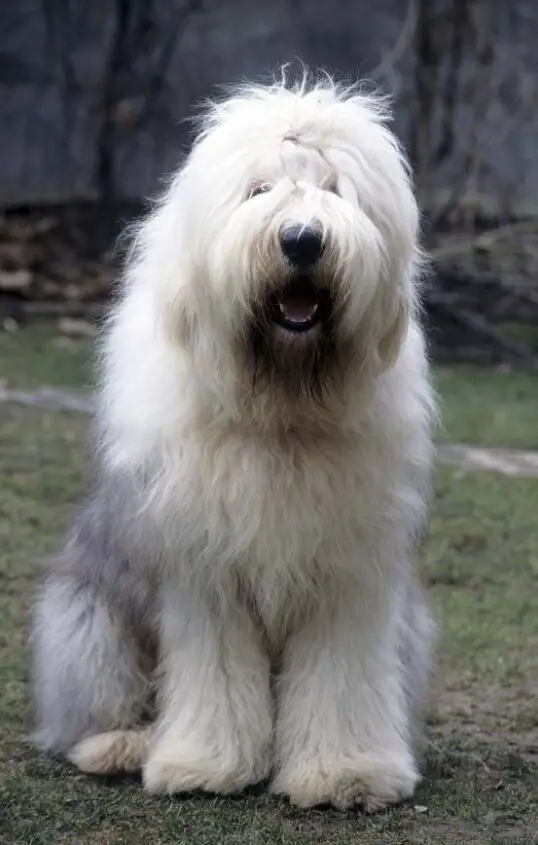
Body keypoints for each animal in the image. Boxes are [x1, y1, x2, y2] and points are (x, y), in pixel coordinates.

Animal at [31, 72, 436, 812]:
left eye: (335, 189)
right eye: (258, 190)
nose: (302, 240)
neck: (280, 408)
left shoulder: (351, 575)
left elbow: (340, 675)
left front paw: (346, 771)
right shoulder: (203, 569)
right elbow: (213, 673)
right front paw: (203, 764)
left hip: (411, 631)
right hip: (87, 616)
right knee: (93, 704)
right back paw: (120, 745)